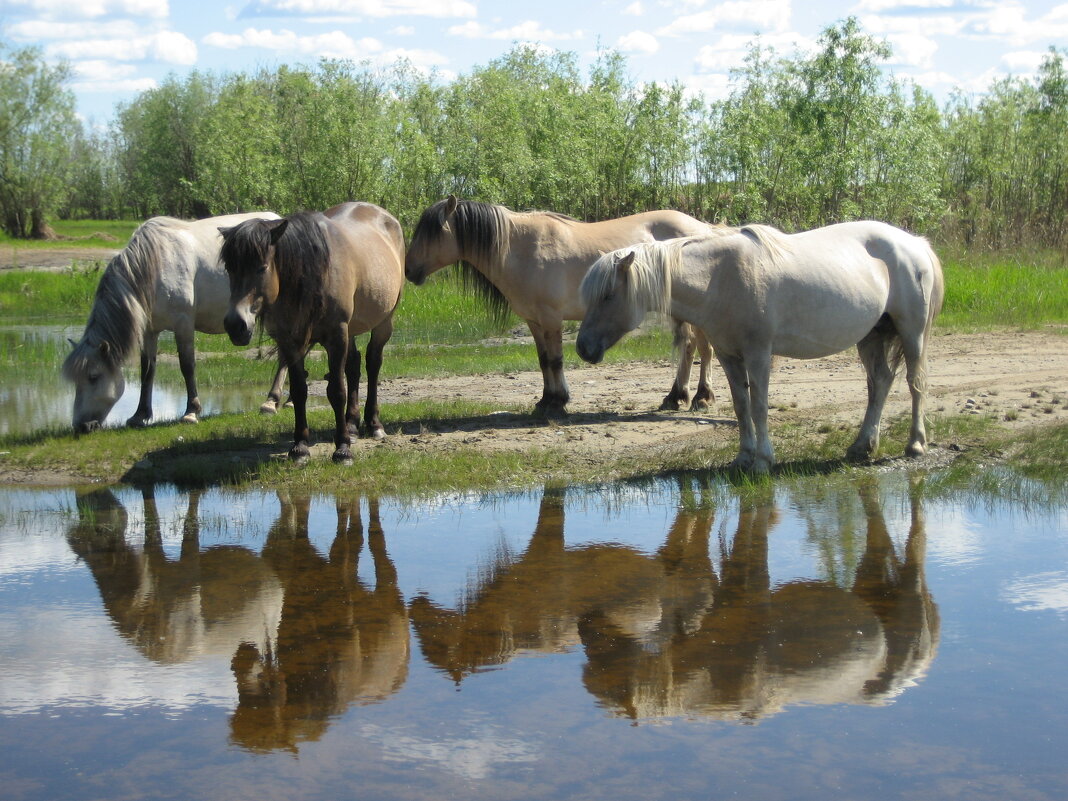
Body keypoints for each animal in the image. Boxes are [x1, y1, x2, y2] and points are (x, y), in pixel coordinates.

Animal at [61, 210, 288, 429]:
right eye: (75, 381)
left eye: (93, 377)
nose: (82, 426)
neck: (154, 266)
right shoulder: (149, 331)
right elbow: (147, 370)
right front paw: (140, 415)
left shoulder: (183, 324)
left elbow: (187, 366)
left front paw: (191, 411)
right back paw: (287, 401)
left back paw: (272, 402)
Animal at [218, 200, 401, 463]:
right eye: (230, 269)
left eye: (262, 268)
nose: (235, 325)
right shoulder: (291, 340)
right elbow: (299, 390)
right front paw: (300, 446)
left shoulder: (336, 335)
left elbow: (336, 390)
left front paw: (342, 449)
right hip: (351, 329)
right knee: (354, 366)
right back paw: (352, 425)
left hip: (383, 321)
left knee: (373, 363)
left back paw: (374, 424)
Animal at [403, 197, 713, 416]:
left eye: (431, 233)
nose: (408, 270)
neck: (519, 248)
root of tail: (704, 229)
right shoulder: (533, 321)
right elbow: (543, 360)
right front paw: (545, 400)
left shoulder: (551, 318)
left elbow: (555, 360)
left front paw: (559, 402)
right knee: (692, 346)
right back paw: (681, 396)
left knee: (697, 347)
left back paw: (695, 397)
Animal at [576, 220, 944, 474]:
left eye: (608, 295)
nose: (583, 348)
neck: (720, 278)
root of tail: (915, 244)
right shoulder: (729, 356)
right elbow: (741, 407)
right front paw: (743, 458)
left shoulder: (758, 355)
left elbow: (759, 407)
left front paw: (763, 461)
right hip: (871, 336)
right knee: (880, 383)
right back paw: (862, 446)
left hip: (912, 334)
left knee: (915, 384)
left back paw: (915, 444)